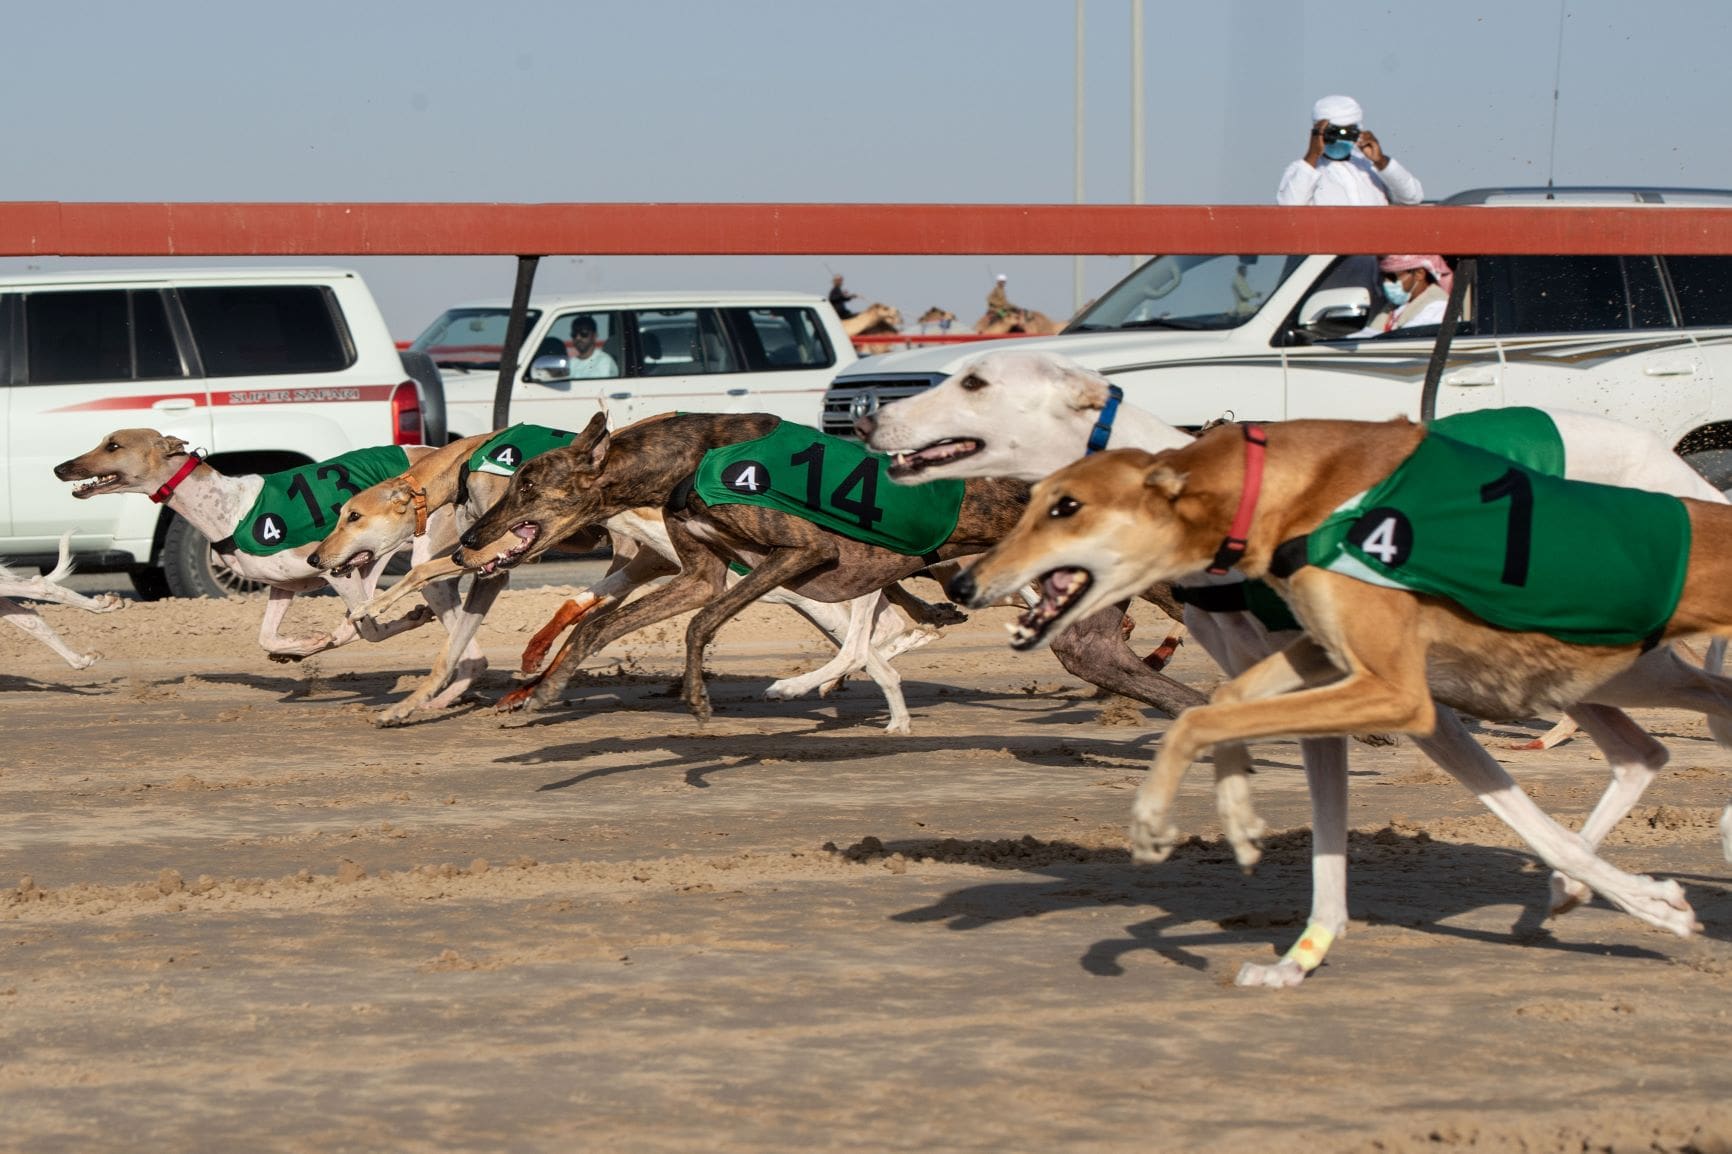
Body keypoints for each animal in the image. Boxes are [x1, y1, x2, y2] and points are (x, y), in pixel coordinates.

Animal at [53, 424, 460, 661]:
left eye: (113, 445)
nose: (61, 468)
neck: (229, 508)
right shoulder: (284, 585)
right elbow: (268, 638)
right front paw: (302, 646)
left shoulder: (339, 571)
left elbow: (367, 628)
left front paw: (325, 639)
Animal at [453, 408, 1212, 724]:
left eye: (527, 483)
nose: (467, 543)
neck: (691, 453)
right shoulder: (702, 570)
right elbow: (600, 626)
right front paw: (544, 693)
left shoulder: (798, 553)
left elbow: (702, 623)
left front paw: (698, 697)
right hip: (1088, 640)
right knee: (1157, 682)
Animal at [962, 417, 1732, 984]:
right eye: (1033, 499)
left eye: (1067, 506)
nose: (969, 582)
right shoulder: (1326, 660)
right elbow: (1218, 706)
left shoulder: (1397, 693)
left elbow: (1202, 717)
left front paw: (1162, 821)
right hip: (1594, 672)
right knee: (1645, 747)